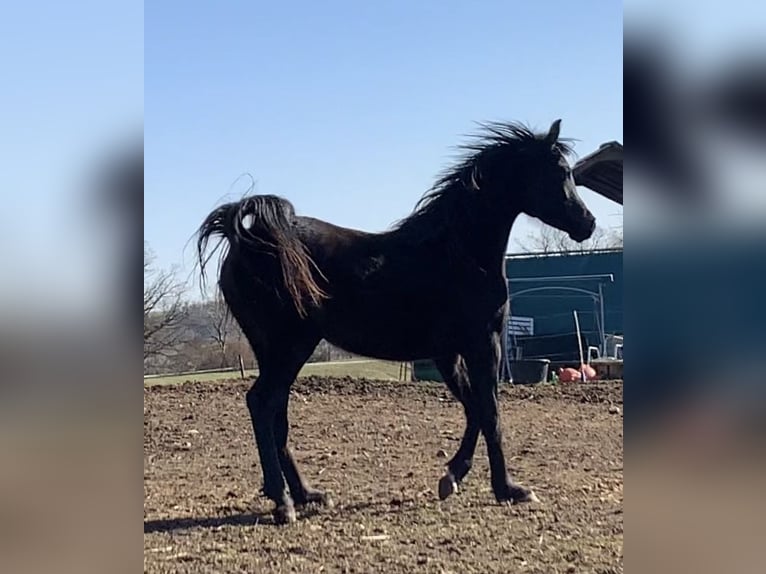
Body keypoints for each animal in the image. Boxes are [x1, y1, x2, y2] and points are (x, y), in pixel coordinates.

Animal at [198, 119, 600, 524]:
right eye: (561, 172)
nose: (588, 223)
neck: (456, 253)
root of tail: (249, 240)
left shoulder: (448, 353)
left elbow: (474, 408)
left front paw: (452, 477)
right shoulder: (481, 344)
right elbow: (490, 412)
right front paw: (509, 490)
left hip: (278, 350)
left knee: (276, 411)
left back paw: (307, 494)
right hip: (289, 347)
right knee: (262, 403)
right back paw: (283, 502)